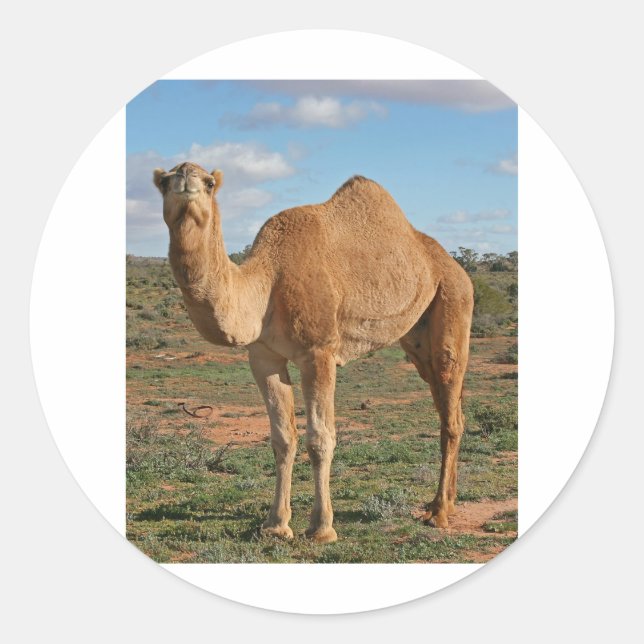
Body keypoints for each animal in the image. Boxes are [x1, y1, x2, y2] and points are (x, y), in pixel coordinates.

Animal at [153, 162, 474, 543]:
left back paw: (439, 514)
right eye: (164, 182)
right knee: (446, 406)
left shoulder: (319, 352)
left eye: (209, 182)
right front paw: (276, 525)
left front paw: (321, 528)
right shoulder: (263, 357)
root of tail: (454, 265)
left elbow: (320, 438)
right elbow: (282, 438)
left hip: (453, 301)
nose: (186, 178)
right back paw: (444, 503)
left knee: (450, 406)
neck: (267, 282)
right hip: (417, 336)